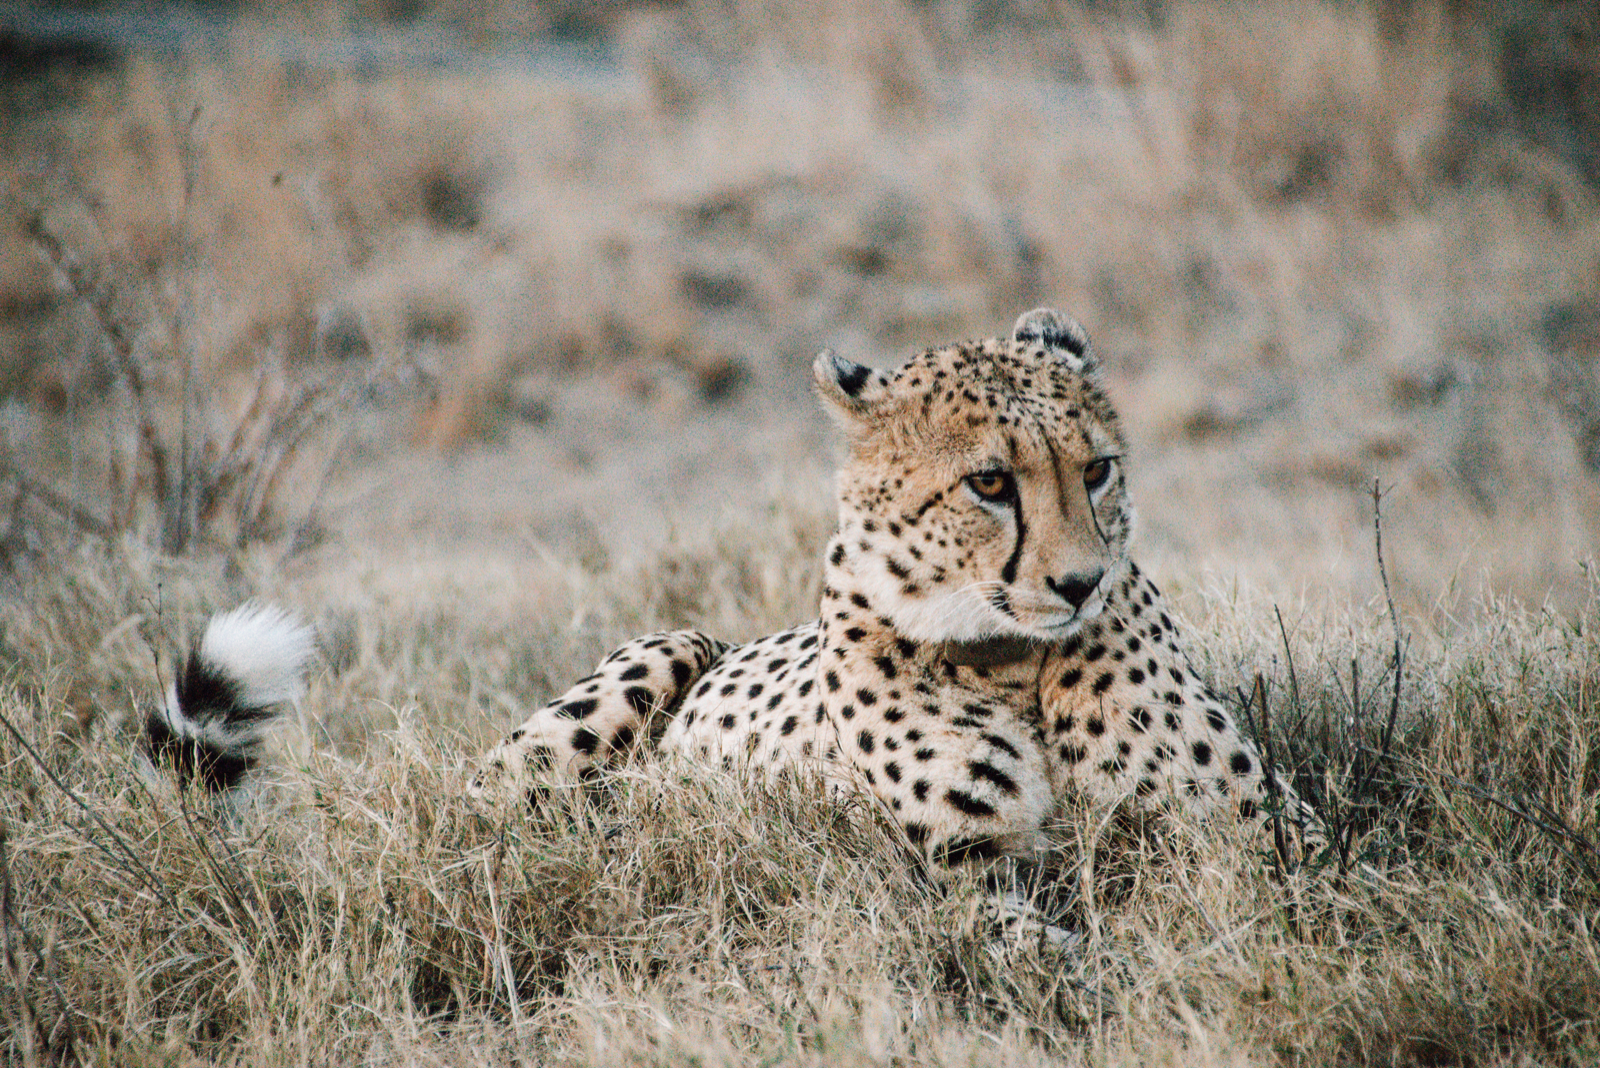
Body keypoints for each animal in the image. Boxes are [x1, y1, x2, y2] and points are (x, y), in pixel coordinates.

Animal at [467, 308, 1320, 865]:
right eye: (990, 482)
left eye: (1097, 470)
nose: (1081, 584)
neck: (1017, 664)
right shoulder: (974, 866)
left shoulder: (1273, 831)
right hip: (657, 655)